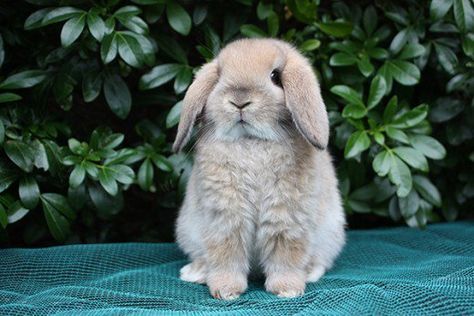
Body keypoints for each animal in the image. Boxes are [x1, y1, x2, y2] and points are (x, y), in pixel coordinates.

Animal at [173, 38, 344, 300]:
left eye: (275, 76)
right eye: (219, 76)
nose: (239, 101)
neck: (251, 142)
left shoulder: (287, 218)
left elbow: (286, 254)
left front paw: (288, 289)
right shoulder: (224, 218)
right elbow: (225, 254)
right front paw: (226, 291)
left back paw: (310, 273)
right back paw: (195, 273)